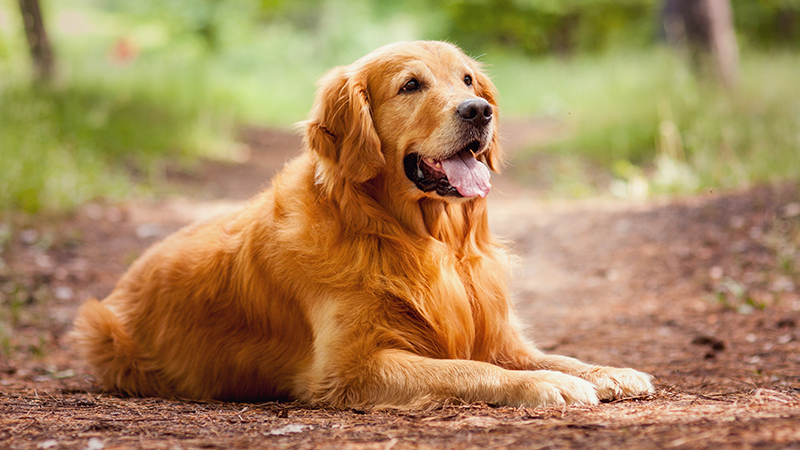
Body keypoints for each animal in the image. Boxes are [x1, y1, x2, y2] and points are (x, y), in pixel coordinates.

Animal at [72, 41, 652, 408]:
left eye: (467, 79)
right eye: (411, 85)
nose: (479, 110)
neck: (419, 238)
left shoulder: (499, 334)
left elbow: (554, 355)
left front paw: (608, 371)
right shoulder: (350, 367)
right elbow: (468, 369)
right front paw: (546, 385)